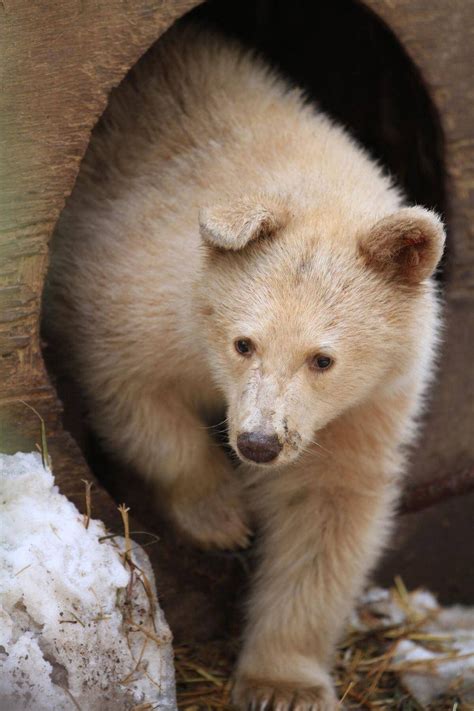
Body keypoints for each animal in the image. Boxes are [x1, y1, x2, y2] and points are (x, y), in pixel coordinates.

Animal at [43, 22, 444, 711]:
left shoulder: (366, 405)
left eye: (323, 358)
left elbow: (326, 507)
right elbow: (129, 386)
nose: (258, 443)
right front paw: (223, 518)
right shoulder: (135, 281)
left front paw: (284, 684)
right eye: (244, 344)